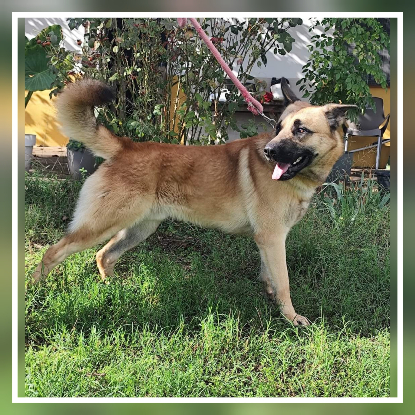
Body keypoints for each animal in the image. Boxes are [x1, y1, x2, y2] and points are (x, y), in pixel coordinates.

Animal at [31, 77, 355, 326]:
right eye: (279, 128)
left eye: (300, 130)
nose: (269, 152)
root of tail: (126, 147)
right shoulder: (274, 238)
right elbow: (284, 282)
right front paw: (291, 318)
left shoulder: (267, 240)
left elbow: (270, 277)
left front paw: (271, 301)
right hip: (101, 225)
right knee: (53, 252)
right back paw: (36, 293)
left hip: (139, 229)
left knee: (103, 256)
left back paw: (114, 289)